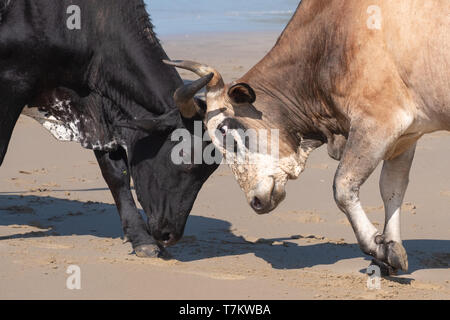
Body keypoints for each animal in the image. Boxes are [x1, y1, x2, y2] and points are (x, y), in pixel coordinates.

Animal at [0, 0, 218, 256]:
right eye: (185, 157)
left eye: (211, 169)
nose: (169, 235)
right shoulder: (12, 82)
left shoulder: (99, 112)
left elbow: (116, 174)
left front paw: (141, 238)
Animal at [167, 0, 448, 274]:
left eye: (224, 129)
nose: (255, 201)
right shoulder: (407, 134)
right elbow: (392, 188)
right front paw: (391, 248)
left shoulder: (378, 121)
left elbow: (343, 185)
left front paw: (375, 244)